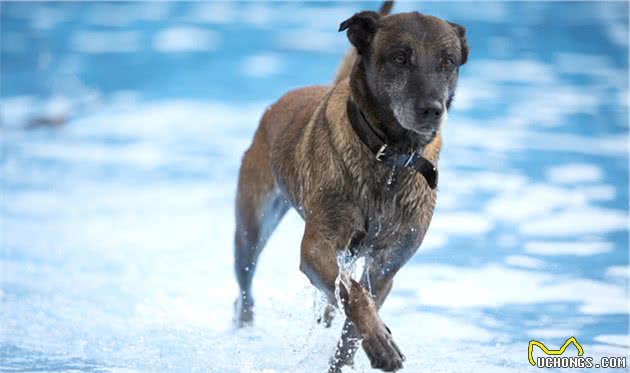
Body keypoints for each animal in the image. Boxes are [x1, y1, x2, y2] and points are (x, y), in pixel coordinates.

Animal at [233, 3, 470, 372]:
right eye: (400, 58)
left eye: (447, 61)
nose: (432, 110)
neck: (390, 158)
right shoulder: (317, 248)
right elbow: (353, 294)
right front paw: (382, 343)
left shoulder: (386, 266)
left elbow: (353, 321)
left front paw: (360, 351)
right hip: (251, 228)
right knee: (245, 285)